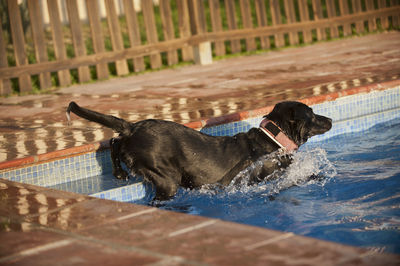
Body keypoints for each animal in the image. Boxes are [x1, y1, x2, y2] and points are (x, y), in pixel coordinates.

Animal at [68, 101, 332, 200]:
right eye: (312, 113)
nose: (329, 119)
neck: (274, 140)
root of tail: (132, 126)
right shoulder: (270, 178)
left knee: (114, 142)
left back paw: (119, 173)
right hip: (166, 178)